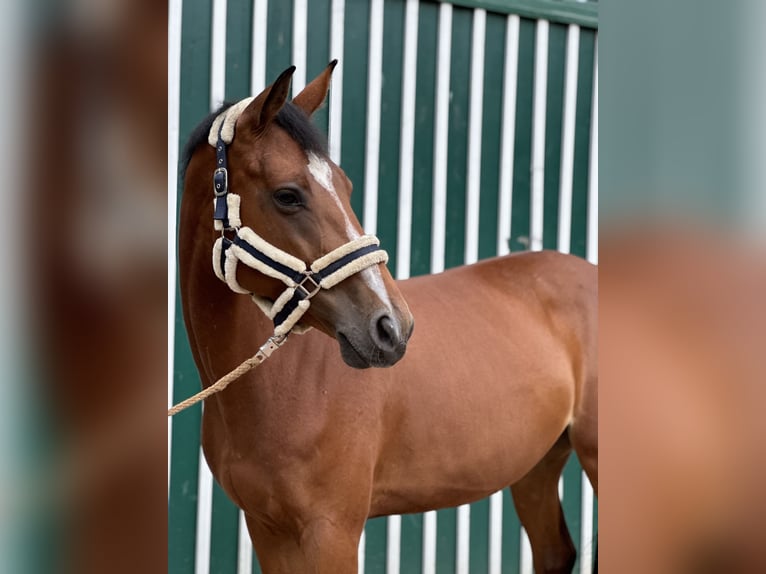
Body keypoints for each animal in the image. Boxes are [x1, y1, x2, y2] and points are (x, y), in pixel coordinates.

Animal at [180, 60, 600, 572]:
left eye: (346, 187)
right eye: (287, 195)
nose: (393, 327)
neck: (282, 385)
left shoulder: (332, 532)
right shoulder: (267, 529)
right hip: (536, 465)